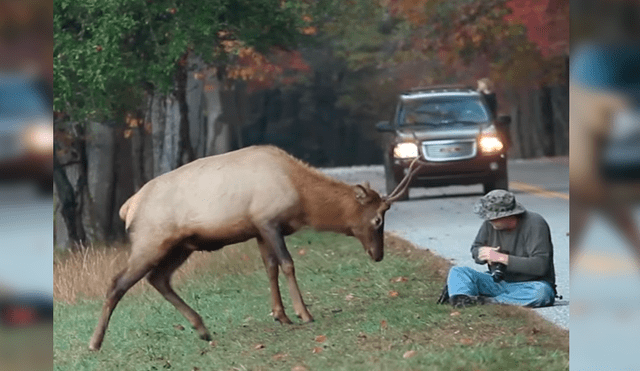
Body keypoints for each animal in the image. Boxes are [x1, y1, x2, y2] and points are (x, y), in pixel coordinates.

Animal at [89, 145, 420, 352]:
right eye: (377, 219)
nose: (377, 254)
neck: (302, 198)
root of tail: (128, 208)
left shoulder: (259, 230)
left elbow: (270, 268)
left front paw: (281, 315)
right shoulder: (268, 220)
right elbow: (287, 264)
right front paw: (304, 313)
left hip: (180, 247)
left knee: (158, 279)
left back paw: (202, 328)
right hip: (151, 241)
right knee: (118, 283)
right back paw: (94, 343)